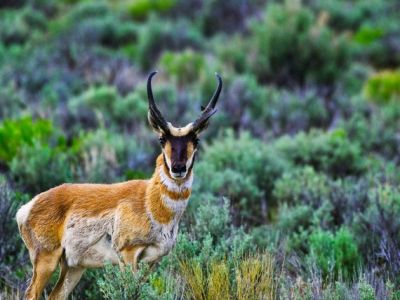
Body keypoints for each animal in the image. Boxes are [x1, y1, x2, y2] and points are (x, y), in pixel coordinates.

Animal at [15, 71, 222, 298]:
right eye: (161, 139)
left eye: (196, 140)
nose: (178, 168)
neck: (149, 201)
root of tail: (28, 206)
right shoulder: (128, 255)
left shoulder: (152, 262)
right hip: (46, 260)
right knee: (31, 294)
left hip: (74, 267)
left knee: (56, 295)